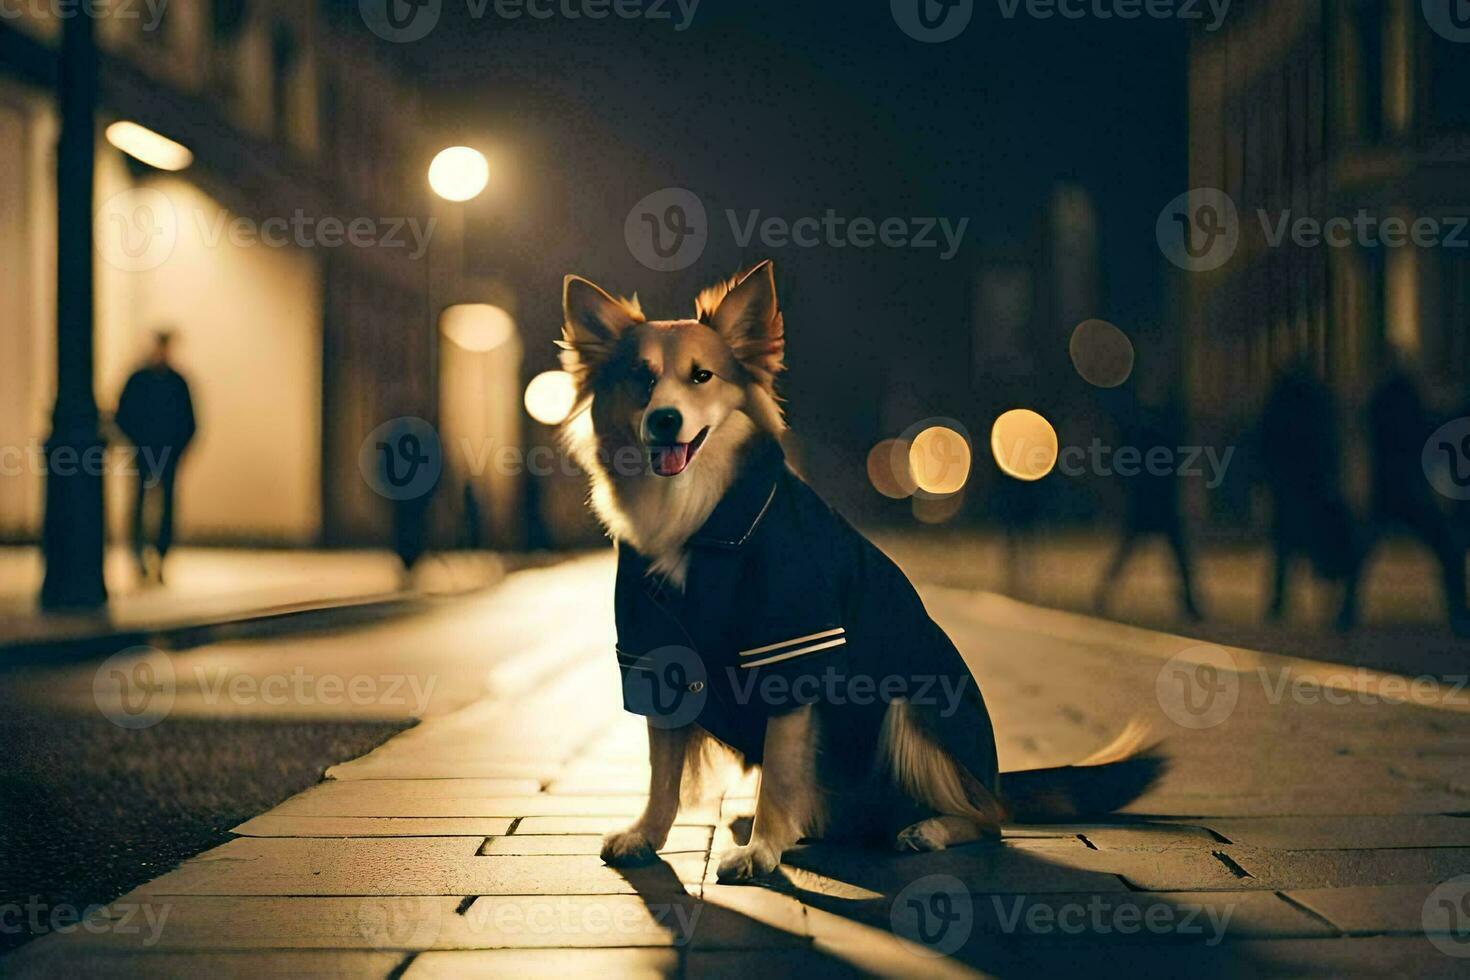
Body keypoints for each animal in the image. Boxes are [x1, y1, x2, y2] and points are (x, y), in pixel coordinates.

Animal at [555, 262, 1164, 887]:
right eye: (640, 379)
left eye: (701, 376)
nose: (664, 420)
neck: (695, 511)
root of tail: (990, 779)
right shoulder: (655, 654)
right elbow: (663, 772)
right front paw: (647, 835)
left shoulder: (793, 647)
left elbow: (779, 770)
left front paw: (762, 850)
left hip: (912, 700)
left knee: (988, 819)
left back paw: (927, 828)